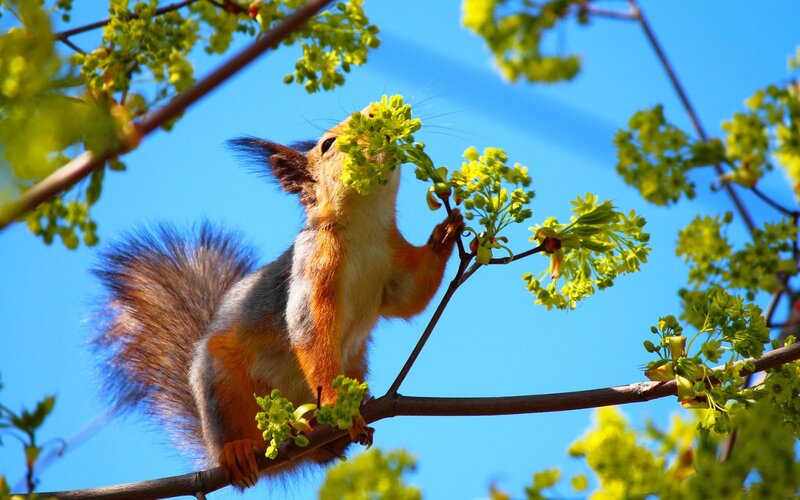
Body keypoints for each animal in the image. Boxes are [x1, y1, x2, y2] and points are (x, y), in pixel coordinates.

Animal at [93, 107, 463, 488]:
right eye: (328, 144)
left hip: (354, 365)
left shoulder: (393, 265)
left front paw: (447, 231)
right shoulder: (313, 264)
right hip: (220, 384)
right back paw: (238, 450)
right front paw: (338, 404)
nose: (376, 114)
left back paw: (328, 438)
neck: (364, 227)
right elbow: (309, 330)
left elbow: (411, 296)